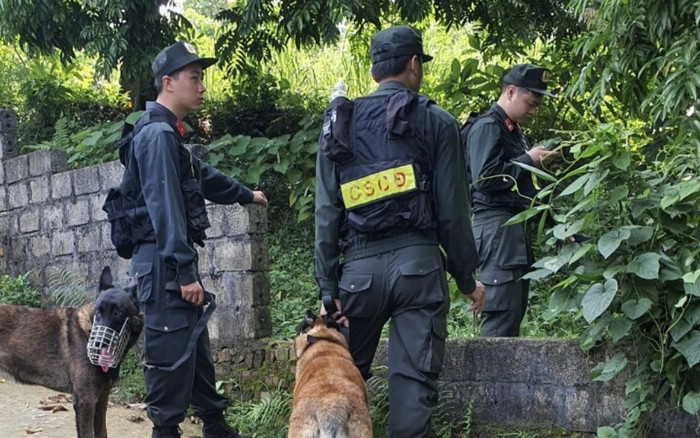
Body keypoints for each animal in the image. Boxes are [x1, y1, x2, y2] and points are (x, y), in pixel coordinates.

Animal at [0, 266, 144, 438]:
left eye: (118, 312)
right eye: (98, 311)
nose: (97, 344)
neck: (87, 330)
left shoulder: (102, 398)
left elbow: (102, 431)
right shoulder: (85, 400)